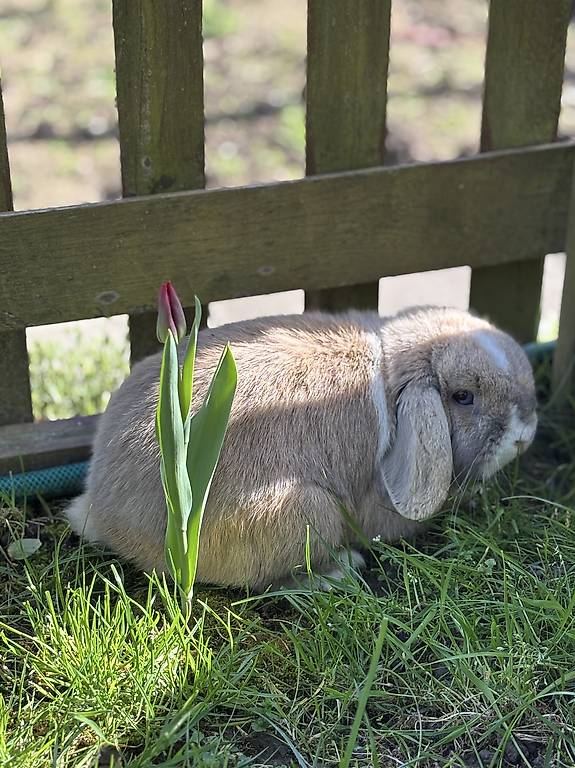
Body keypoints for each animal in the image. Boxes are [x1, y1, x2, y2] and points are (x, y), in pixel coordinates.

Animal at [66, 306, 537, 591]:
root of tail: (102, 511)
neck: (391, 376)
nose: (524, 434)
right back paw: (340, 572)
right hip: (305, 511)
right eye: (463, 397)